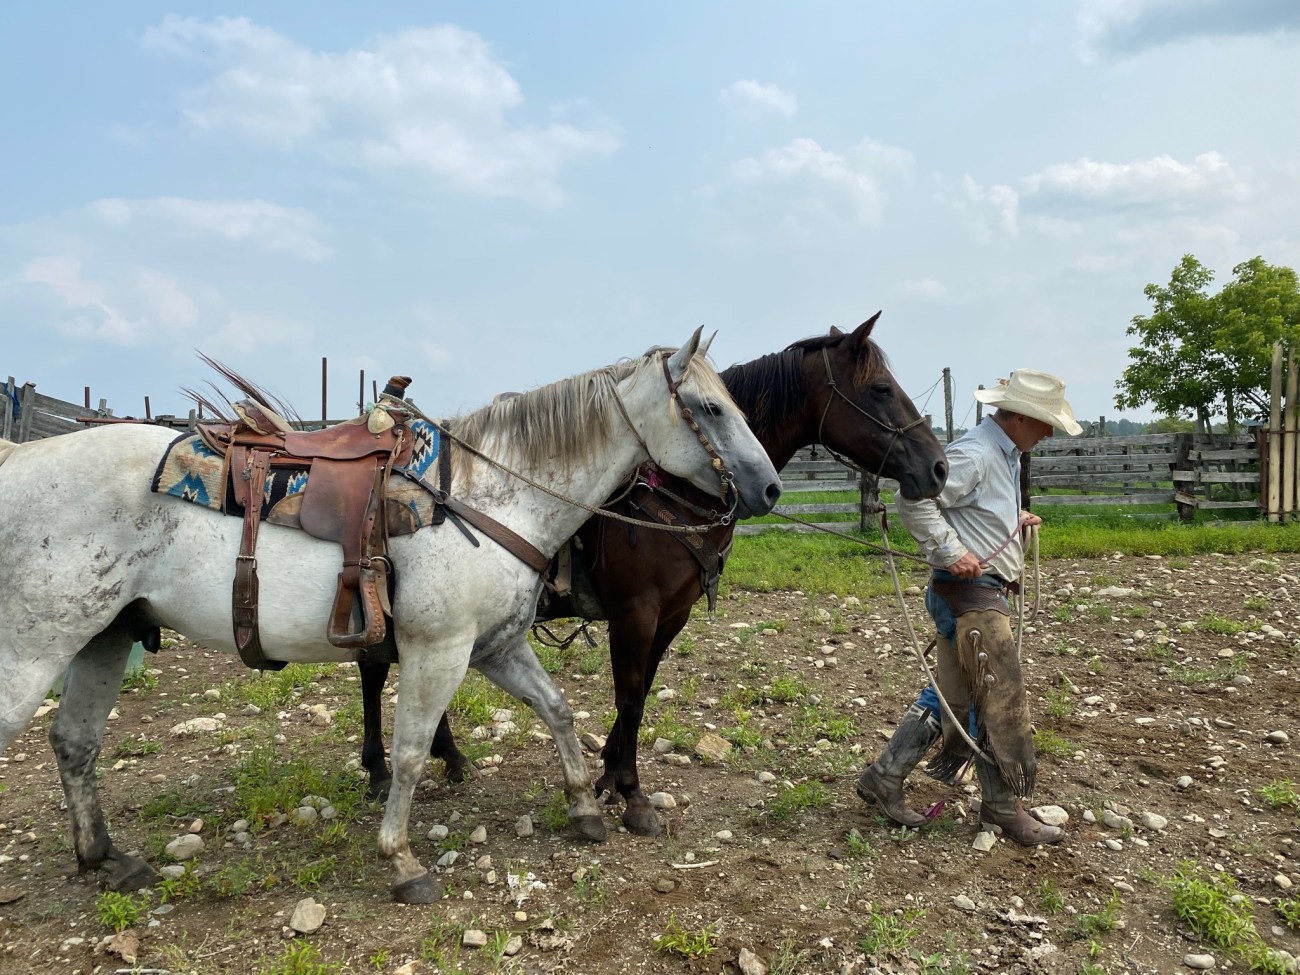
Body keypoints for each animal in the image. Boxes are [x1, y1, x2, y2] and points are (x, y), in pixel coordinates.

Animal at [0, 332, 780, 904]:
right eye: (709, 408)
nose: (770, 487)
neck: (493, 494)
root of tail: (18, 460)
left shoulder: (495, 645)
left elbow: (559, 710)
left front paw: (586, 807)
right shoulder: (442, 648)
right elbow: (409, 751)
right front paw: (402, 859)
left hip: (107, 635)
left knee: (74, 742)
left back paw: (107, 858)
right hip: (37, 646)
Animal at [361, 317, 951, 837]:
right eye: (879, 388)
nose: (939, 467)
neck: (671, 494)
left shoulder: (671, 615)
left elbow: (641, 693)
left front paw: (607, 776)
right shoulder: (634, 613)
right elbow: (629, 696)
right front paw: (632, 795)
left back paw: (450, 756)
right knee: (373, 671)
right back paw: (380, 769)